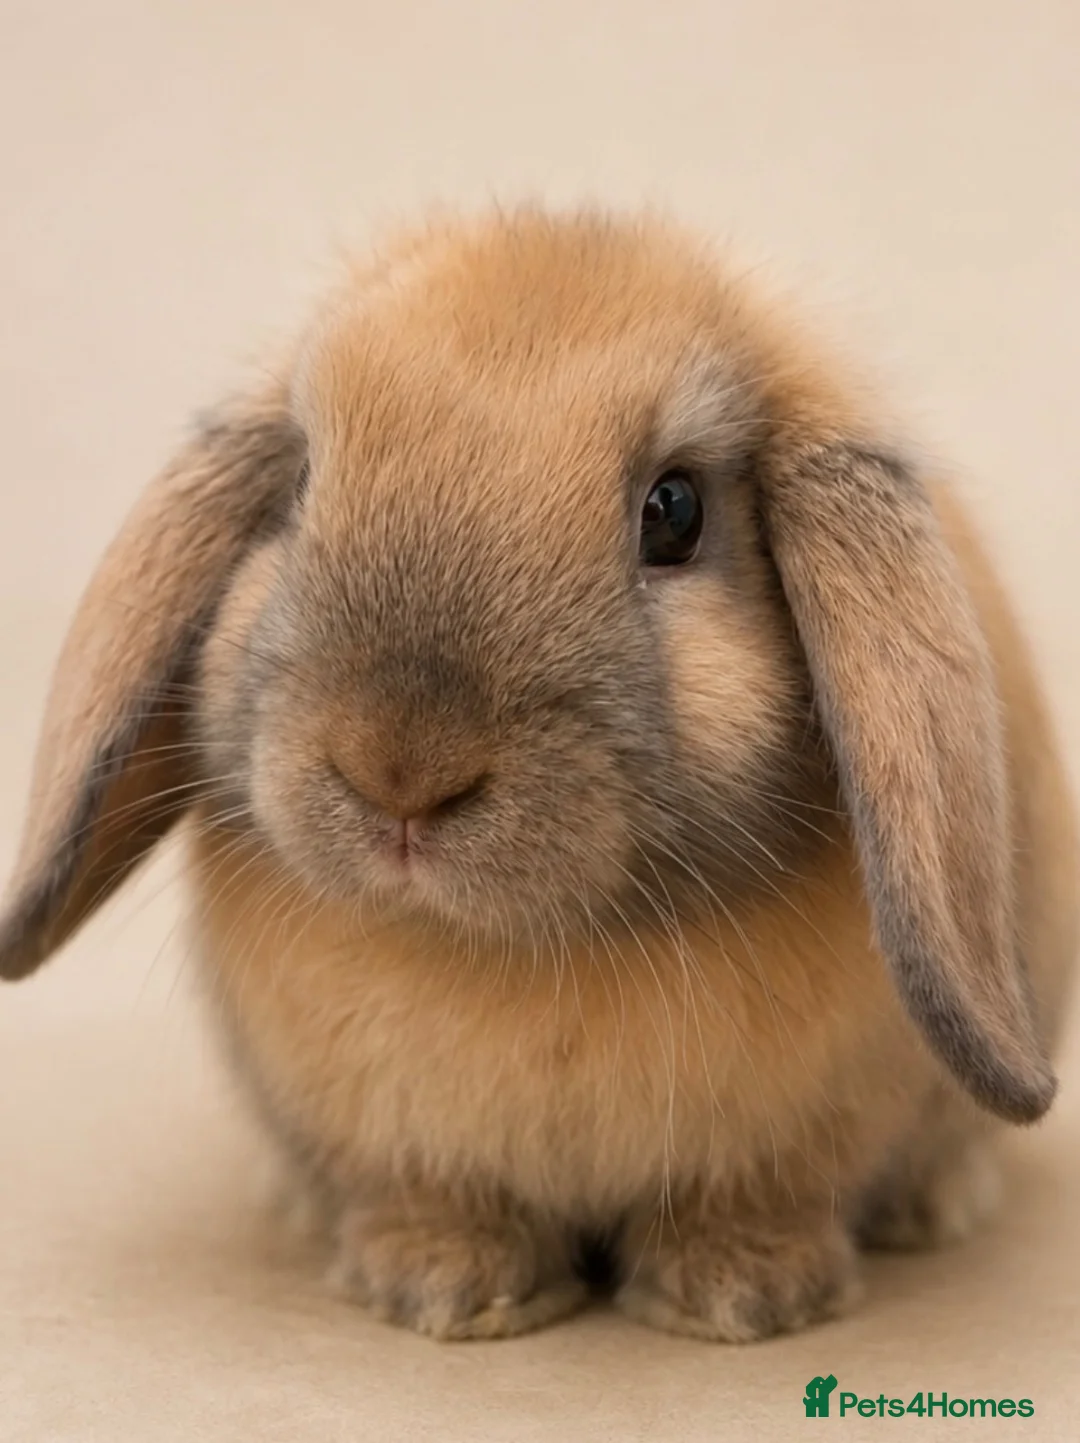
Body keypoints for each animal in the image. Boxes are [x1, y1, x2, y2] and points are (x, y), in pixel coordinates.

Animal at [1, 208, 1076, 1343]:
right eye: (297, 488)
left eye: (675, 511)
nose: (401, 772)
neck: (509, 954)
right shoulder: (407, 1146)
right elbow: (436, 1199)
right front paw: (442, 1290)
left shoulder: (796, 1140)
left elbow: (756, 1200)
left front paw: (740, 1297)